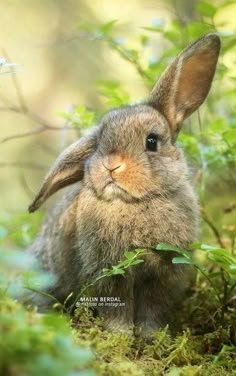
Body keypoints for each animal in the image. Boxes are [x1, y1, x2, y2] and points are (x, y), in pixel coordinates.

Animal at [26, 33, 220, 338]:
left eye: (151, 141)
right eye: (99, 142)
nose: (111, 165)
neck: (133, 203)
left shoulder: (163, 274)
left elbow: (152, 309)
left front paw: (151, 337)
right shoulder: (109, 274)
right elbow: (118, 308)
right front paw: (121, 335)